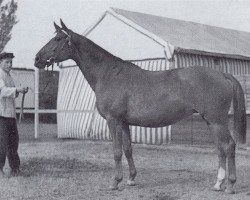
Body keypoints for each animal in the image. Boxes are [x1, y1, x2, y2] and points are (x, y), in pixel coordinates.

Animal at [34, 19, 247, 193]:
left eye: (58, 39)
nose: (37, 59)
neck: (108, 74)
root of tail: (222, 74)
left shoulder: (113, 120)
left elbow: (117, 151)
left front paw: (115, 182)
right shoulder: (124, 123)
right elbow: (128, 149)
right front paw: (131, 179)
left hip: (216, 121)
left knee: (229, 146)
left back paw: (230, 185)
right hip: (211, 121)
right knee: (220, 148)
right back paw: (218, 184)